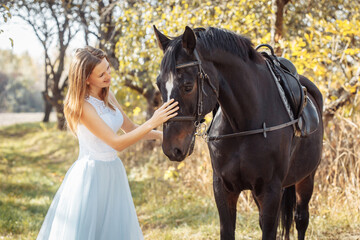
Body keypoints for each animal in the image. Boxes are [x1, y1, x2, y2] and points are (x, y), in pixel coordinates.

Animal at [153, 25, 322, 239]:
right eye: (159, 85)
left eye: (188, 86)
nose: (171, 148)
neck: (243, 126)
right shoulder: (224, 189)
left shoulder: (271, 191)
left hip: (307, 177)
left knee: (301, 220)